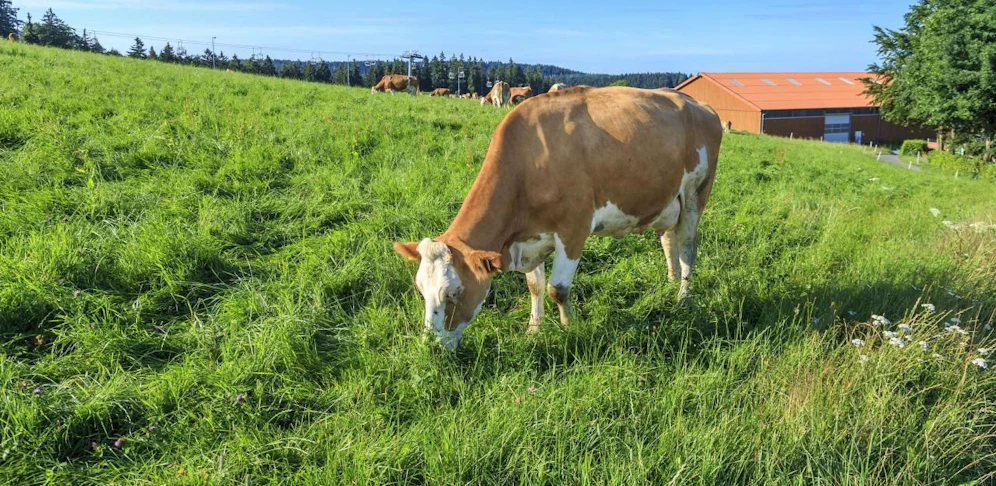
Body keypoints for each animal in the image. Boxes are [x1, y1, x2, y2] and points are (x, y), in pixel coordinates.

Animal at [393, 86, 722, 350]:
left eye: (454, 292)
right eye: (420, 289)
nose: (431, 347)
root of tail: (697, 103)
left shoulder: (573, 230)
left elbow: (558, 290)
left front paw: (569, 329)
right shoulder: (530, 237)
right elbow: (535, 287)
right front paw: (533, 330)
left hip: (695, 194)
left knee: (688, 249)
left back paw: (682, 296)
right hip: (668, 202)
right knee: (668, 240)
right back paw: (669, 282)